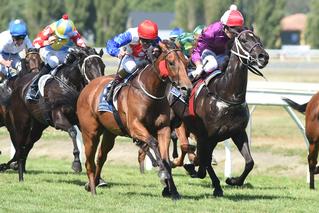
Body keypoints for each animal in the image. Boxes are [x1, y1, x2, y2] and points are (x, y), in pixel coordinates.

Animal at [2, 46, 105, 180]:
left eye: (103, 66)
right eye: (88, 66)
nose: (98, 83)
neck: (69, 84)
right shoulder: (58, 118)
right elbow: (72, 131)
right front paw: (77, 163)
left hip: (37, 125)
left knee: (28, 144)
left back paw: (11, 165)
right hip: (20, 122)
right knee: (19, 143)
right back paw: (19, 173)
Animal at [77, 40, 192, 199]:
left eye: (186, 62)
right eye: (171, 62)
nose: (187, 88)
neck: (151, 93)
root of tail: (89, 87)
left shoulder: (164, 129)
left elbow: (166, 160)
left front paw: (173, 191)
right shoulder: (135, 127)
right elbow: (153, 143)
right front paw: (162, 173)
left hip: (109, 133)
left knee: (101, 157)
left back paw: (92, 184)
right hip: (90, 133)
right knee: (89, 161)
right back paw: (93, 189)